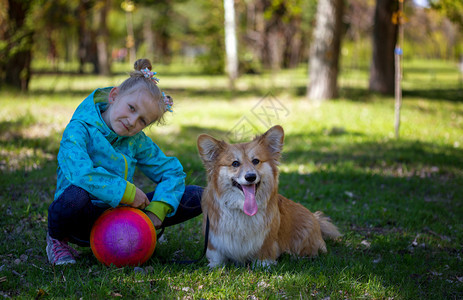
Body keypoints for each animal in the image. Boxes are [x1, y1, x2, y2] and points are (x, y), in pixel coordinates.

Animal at [196, 124, 340, 268]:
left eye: (256, 161)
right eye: (235, 163)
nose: (250, 177)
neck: (242, 210)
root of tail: (316, 219)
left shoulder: (267, 241)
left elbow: (264, 255)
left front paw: (263, 266)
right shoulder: (214, 242)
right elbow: (217, 257)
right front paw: (215, 266)